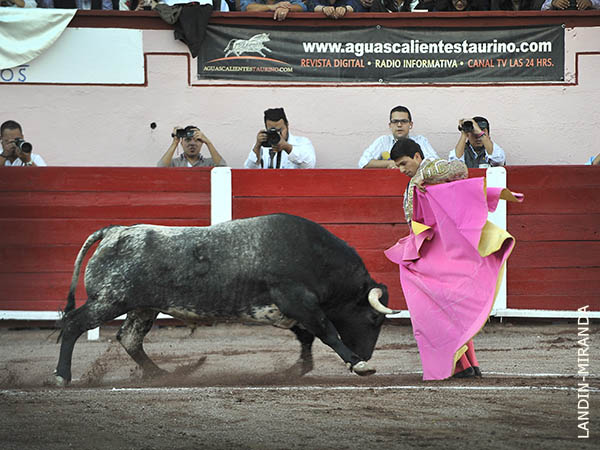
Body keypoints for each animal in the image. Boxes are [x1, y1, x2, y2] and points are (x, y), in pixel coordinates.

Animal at [54, 213, 396, 384]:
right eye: (374, 318)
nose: (366, 352)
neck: (315, 255)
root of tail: (116, 231)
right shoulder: (298, 301)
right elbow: (327, 332)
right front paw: (359, 365)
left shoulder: (291, 310)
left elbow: (307, 338)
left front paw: (295, 370)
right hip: (109, 299)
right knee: (73, 324)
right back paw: (62, 376)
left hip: (142, 307)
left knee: (129, 338)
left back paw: (160, 375)